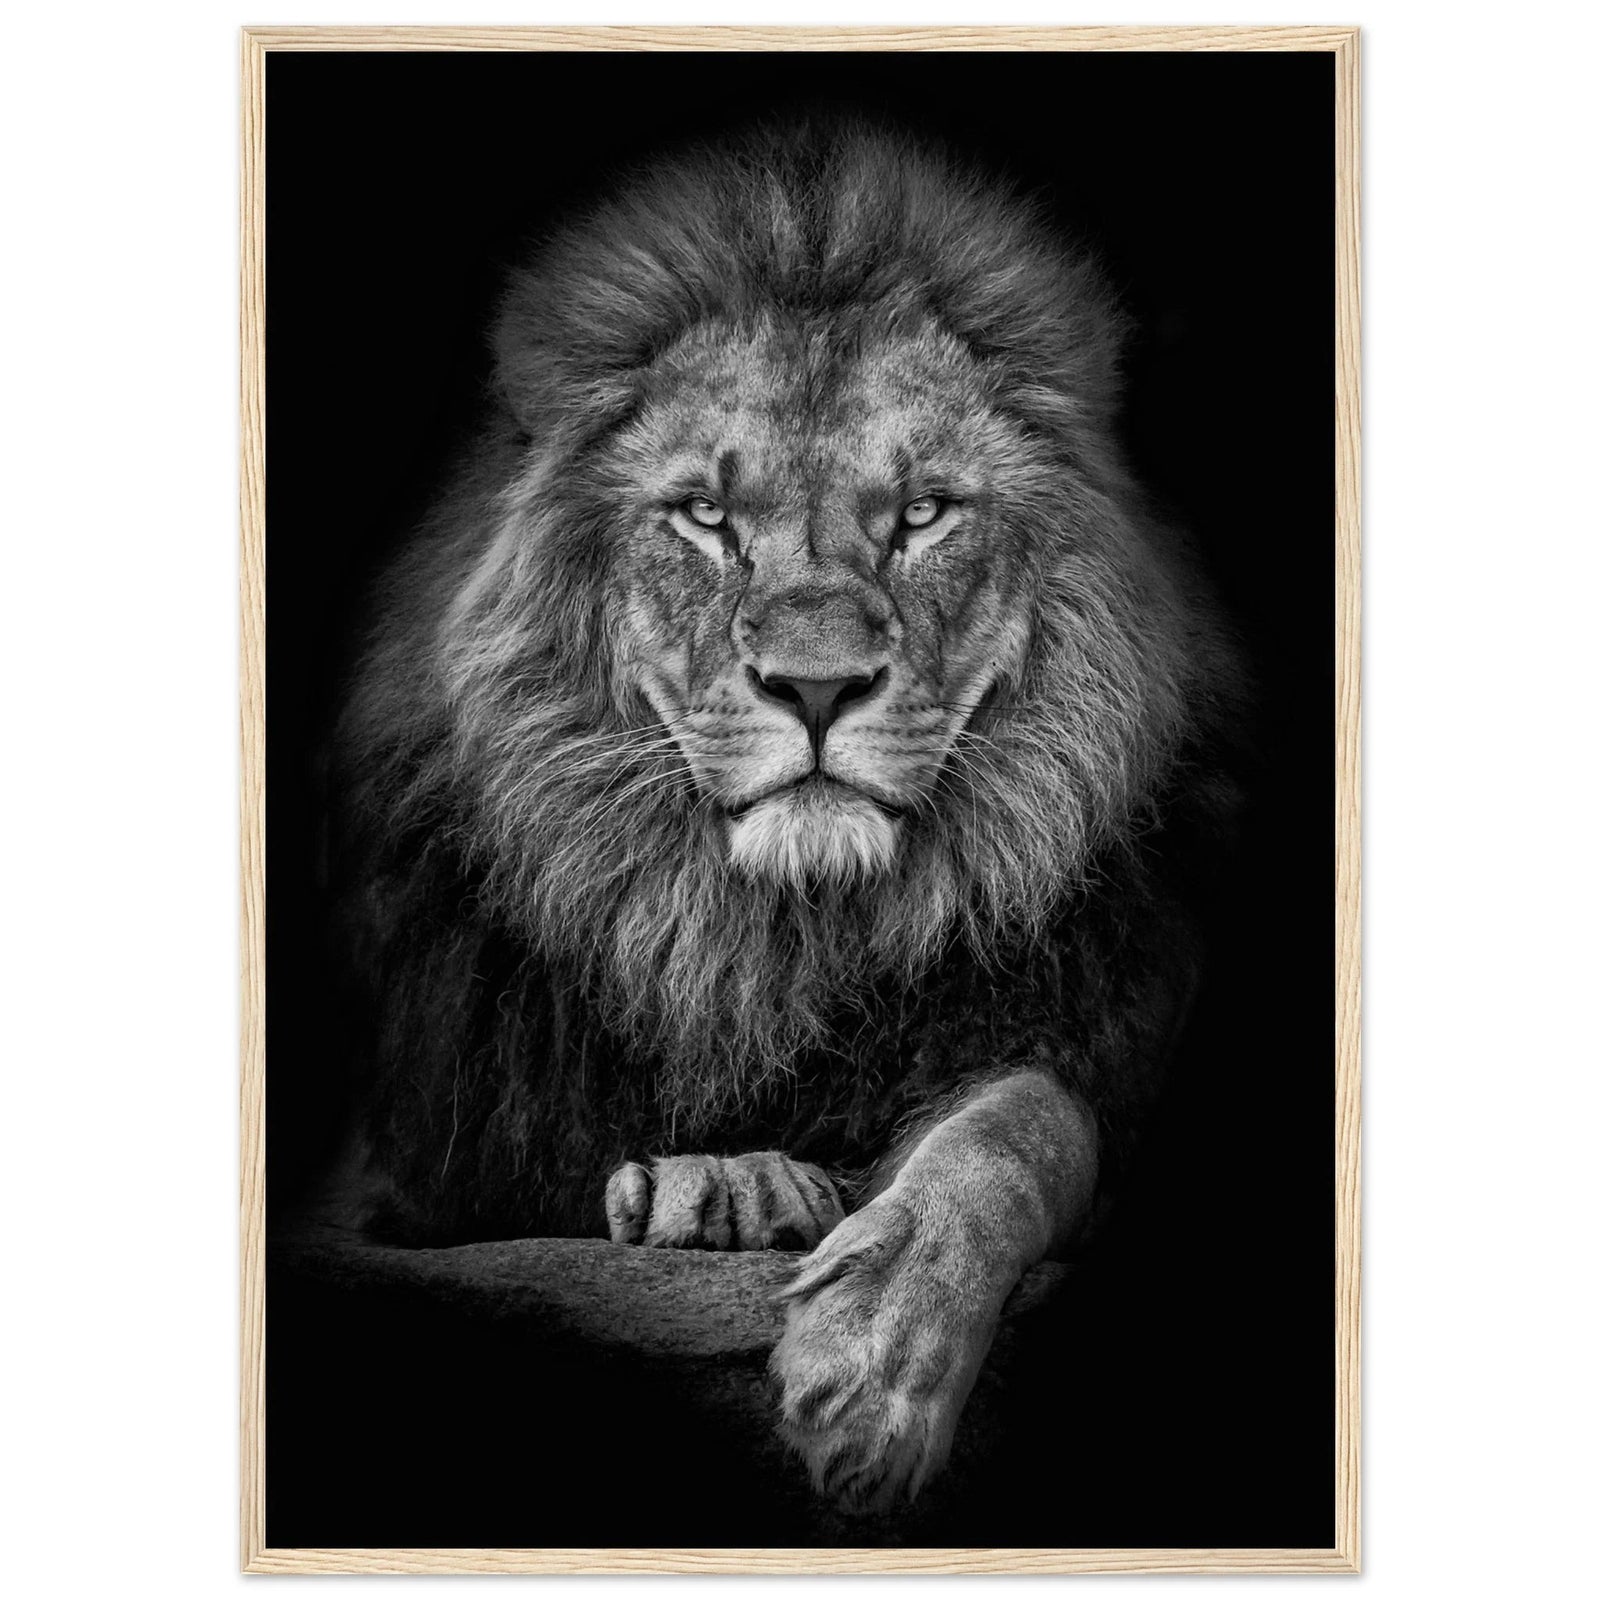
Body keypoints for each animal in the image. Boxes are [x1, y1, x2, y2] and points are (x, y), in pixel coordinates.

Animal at [326, 121, 1244, 1514]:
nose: (815, 687)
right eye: (707, 516)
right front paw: (726, 1181)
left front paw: (875, 1365)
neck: (774, 941)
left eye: (920, 512)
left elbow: (1019, 1126)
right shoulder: (416, 1159)